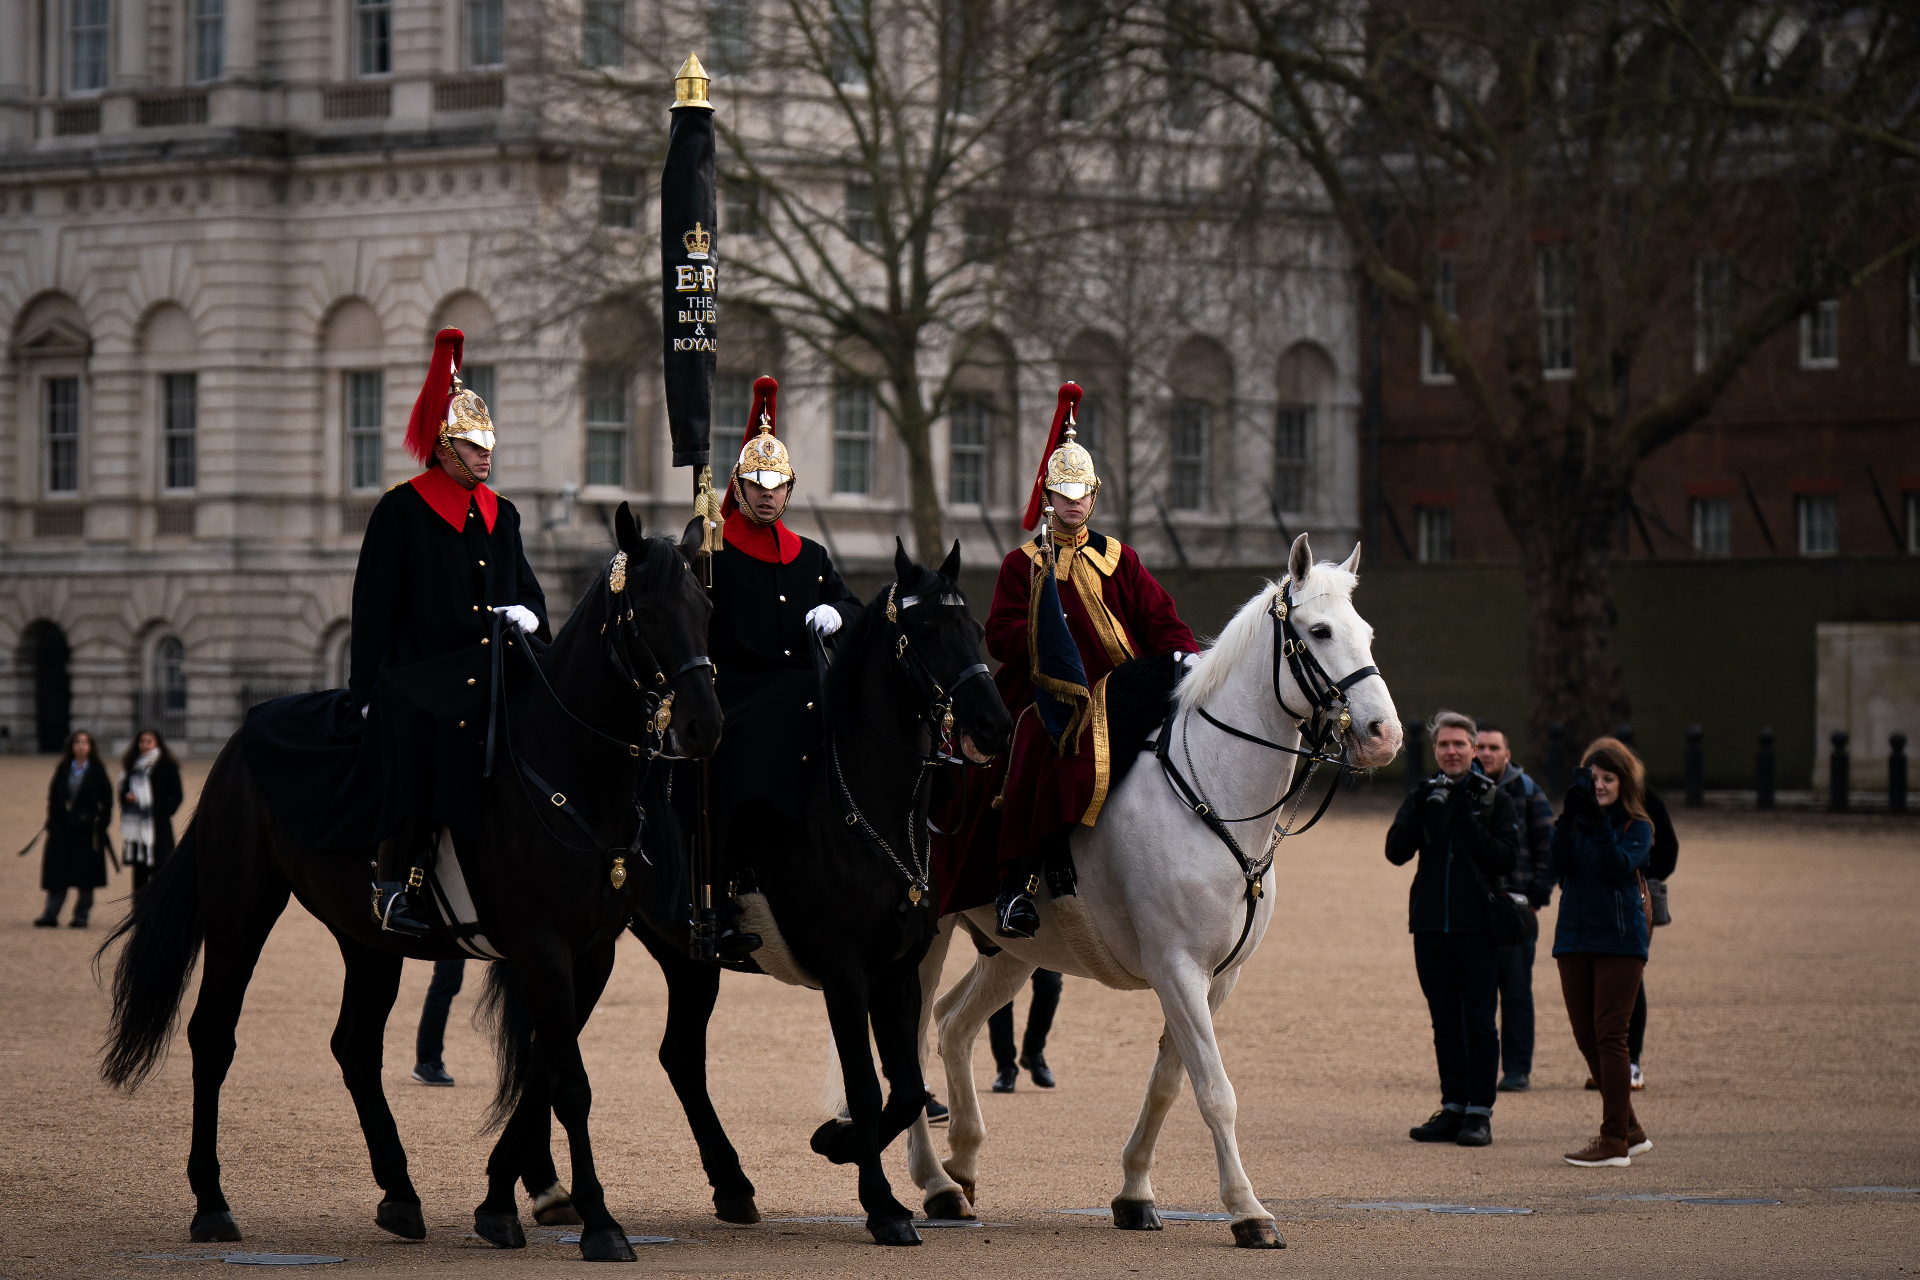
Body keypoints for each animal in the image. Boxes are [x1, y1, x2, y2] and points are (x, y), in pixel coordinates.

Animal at [97, 506, 718, 1258]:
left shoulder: (590, 953)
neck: (568, 768)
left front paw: (500, 1202)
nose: (706, 725)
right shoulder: (542, 949)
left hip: (367, 939)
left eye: (706, 608)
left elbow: (543, 1071)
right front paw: (599, 1222)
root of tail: (243, 736)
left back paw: (399, 1194)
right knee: (213, 1035)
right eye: (648, 612)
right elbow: (569, 1082)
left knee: (355, 1047)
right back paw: (212, 1204)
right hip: (240, 911)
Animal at [898, 533, 1397, 1251]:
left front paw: (1134, 1191)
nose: (1385, 736)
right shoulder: (1177, 967)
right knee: (910, 1040)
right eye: (1320, 631)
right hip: (928, 938)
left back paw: (960, 1167)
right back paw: (934, 1180)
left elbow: (1169, 1082)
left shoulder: (1215, 977)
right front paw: (1248, 1210)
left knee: (953, 1024)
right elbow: (1214, 1090)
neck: (1214, 789)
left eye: (1367, 632)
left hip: (1015, 954)